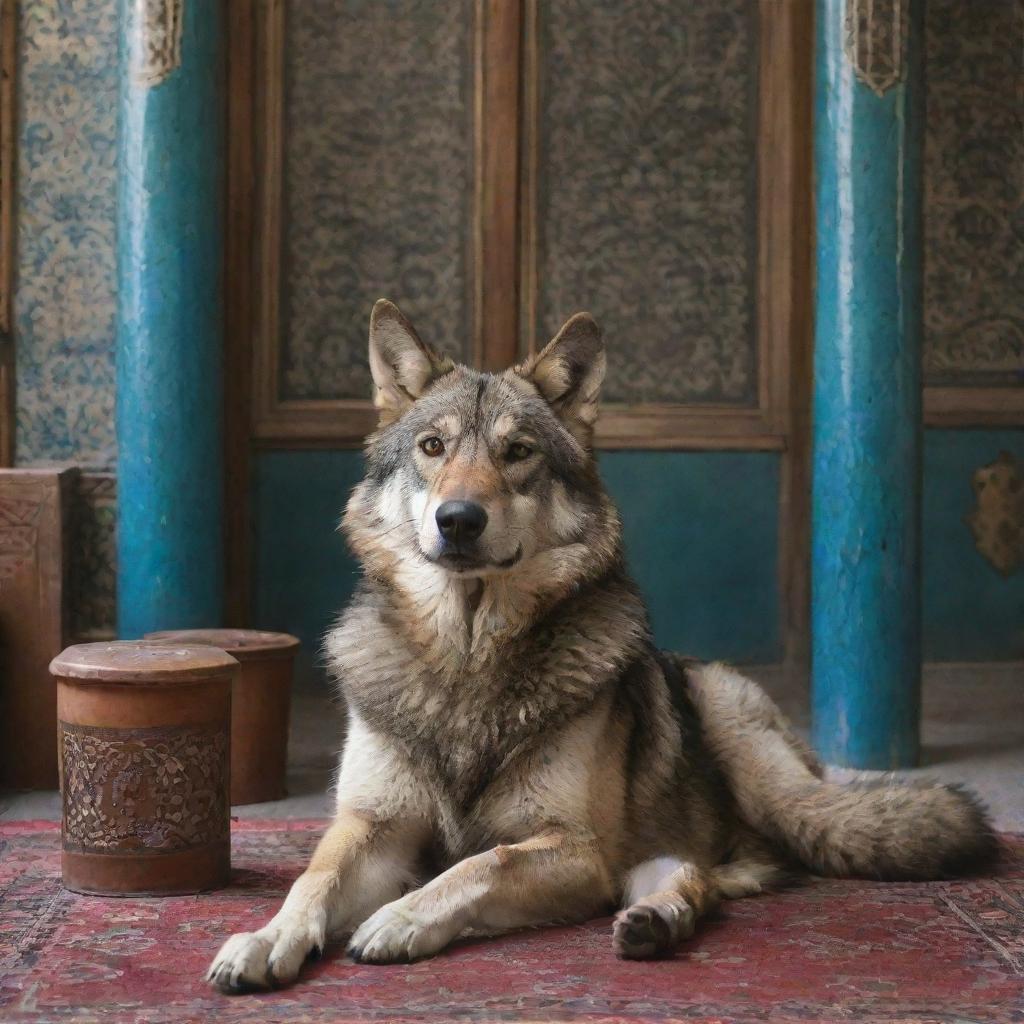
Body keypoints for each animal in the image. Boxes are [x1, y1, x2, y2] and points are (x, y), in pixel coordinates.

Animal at [205, 299, 991, 991]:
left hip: (745, 761)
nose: (458, 520)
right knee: (697, 875)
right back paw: (654, 922)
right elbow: (313, 879)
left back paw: (658, 919)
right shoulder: (374, 827)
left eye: (517, 453)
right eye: (433, 448)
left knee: (718, 871)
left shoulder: (578, 851)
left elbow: (478, 865)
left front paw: (399, 918)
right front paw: (267, 938)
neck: (467, 654)